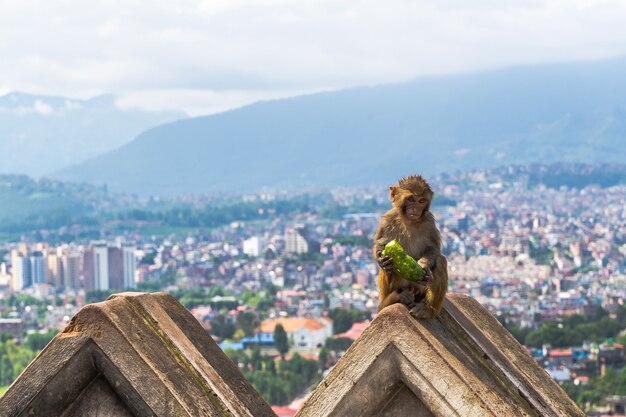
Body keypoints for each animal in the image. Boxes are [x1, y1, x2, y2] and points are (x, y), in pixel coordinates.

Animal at [372, 175, 446, 318]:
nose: (415, 209)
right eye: (411, 199)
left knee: (440, 260)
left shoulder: (429, 221)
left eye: (421, 201)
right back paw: (395, 297)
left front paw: (424, 265)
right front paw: (381, 260)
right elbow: (380, 244)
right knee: (389, 268)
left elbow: (433, 248)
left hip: (421, 291)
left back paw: (427, 309)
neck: (409, 221)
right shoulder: (387, 219)